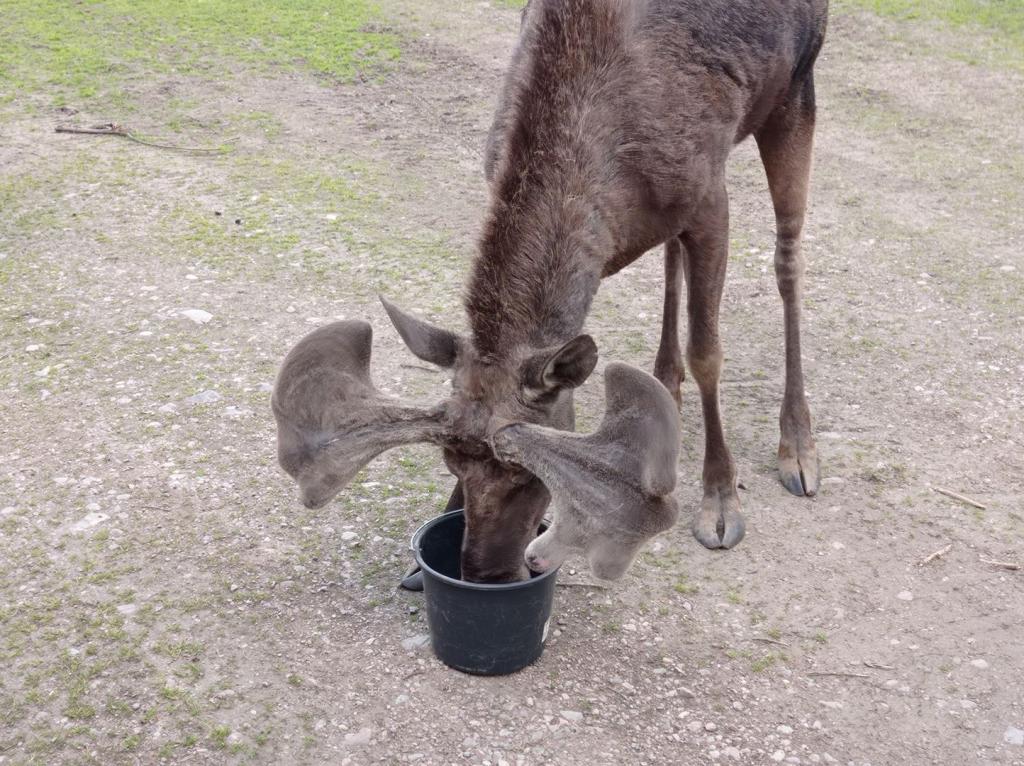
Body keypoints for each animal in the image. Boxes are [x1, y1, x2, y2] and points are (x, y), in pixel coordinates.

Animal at [270, 0, 823, 581]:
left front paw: (719, 501)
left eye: (524, 475)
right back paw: (665, 382)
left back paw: (798, 445)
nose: (482, 573)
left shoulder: (710, 198)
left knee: (788, 259)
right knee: (673, 259)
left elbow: (708, 354)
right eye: (451, 464)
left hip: (796, 94)